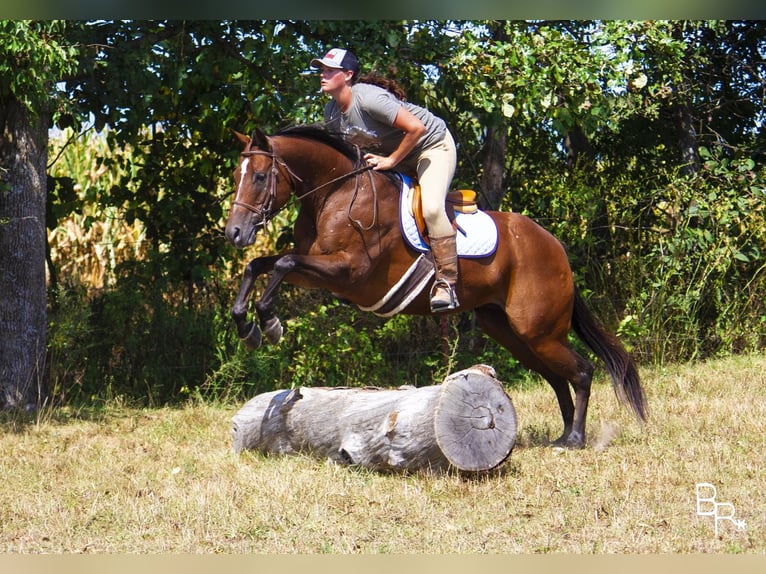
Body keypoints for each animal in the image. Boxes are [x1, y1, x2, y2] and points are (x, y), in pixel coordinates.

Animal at [226, 126, 648, 450]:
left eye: (259, 177)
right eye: (235, 176)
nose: (235, 233)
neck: (335, 194)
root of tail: (555, 246)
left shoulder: (348, 273)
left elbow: (282, 264)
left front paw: (269, 324)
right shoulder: (317, 267)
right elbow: (259, 265)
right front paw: (246, 326)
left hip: (538, 331)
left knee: (582, 371)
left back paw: (575, 439)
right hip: (510, 331)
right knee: (558, 376)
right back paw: (562, 435)